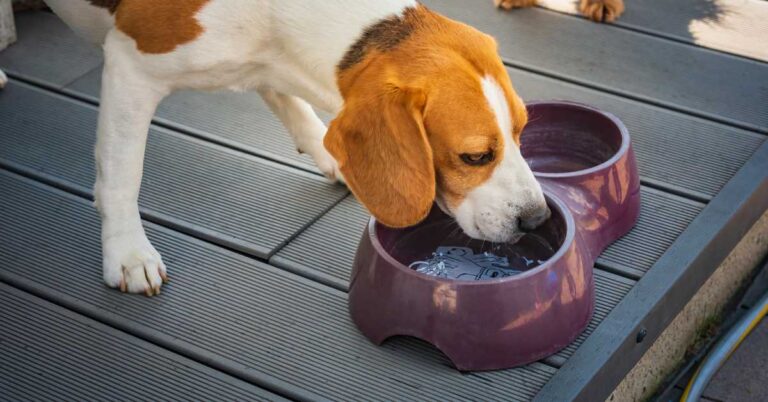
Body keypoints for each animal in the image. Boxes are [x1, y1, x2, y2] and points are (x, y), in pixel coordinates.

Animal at [19, 0, 552, 296]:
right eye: (475, 157)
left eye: (522, 132)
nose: (536, 219)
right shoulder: (131, 66)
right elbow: (122, 176)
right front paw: (128, 253)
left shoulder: (269, 63)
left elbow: (298, 111)